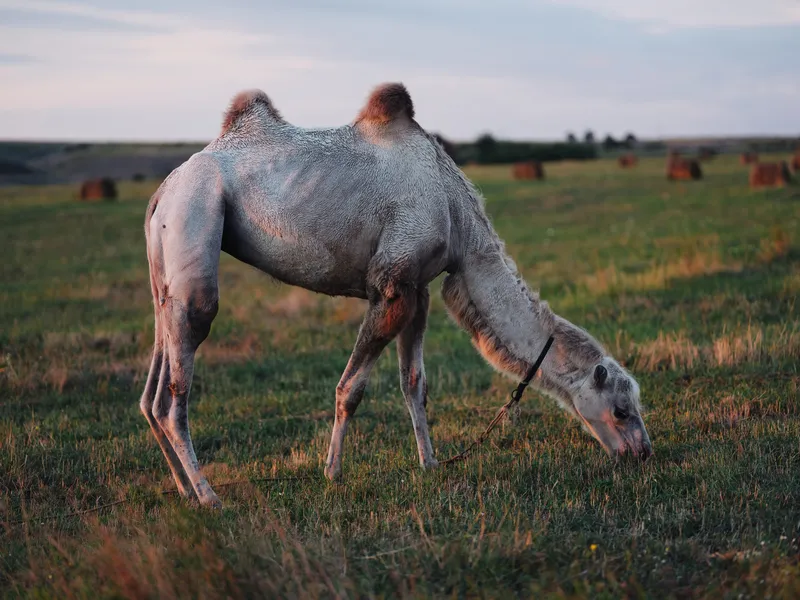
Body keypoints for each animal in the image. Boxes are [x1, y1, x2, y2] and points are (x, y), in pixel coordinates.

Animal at [141, 83, 653, 507]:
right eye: (622, 410)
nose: (644, 453)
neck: (457, 220)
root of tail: (162, 189)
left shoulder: (419, 289)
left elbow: (415, 383)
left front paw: (430, 463)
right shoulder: (392, 283)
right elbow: (351, 389)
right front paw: (333, 472)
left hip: (166, 271)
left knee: (153, 387)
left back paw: (183, 489)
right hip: (195, 214)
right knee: (179, 381)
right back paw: (208, 495)